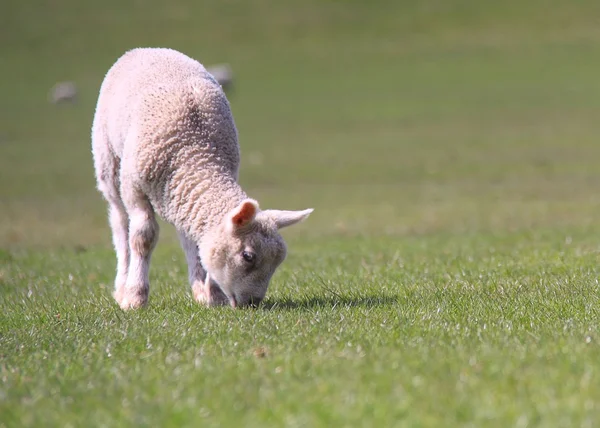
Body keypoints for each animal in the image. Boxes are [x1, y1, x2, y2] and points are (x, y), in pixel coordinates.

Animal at [92, 47, 314, 310]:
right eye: (248, 256)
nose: (253, 303)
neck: (196, 153)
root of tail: (145, 49)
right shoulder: (134, 188)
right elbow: (142, 237)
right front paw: (135, 297)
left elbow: (197, 241)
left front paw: (212, 295)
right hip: (108, 162)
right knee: (119, 221)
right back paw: (122, 285)